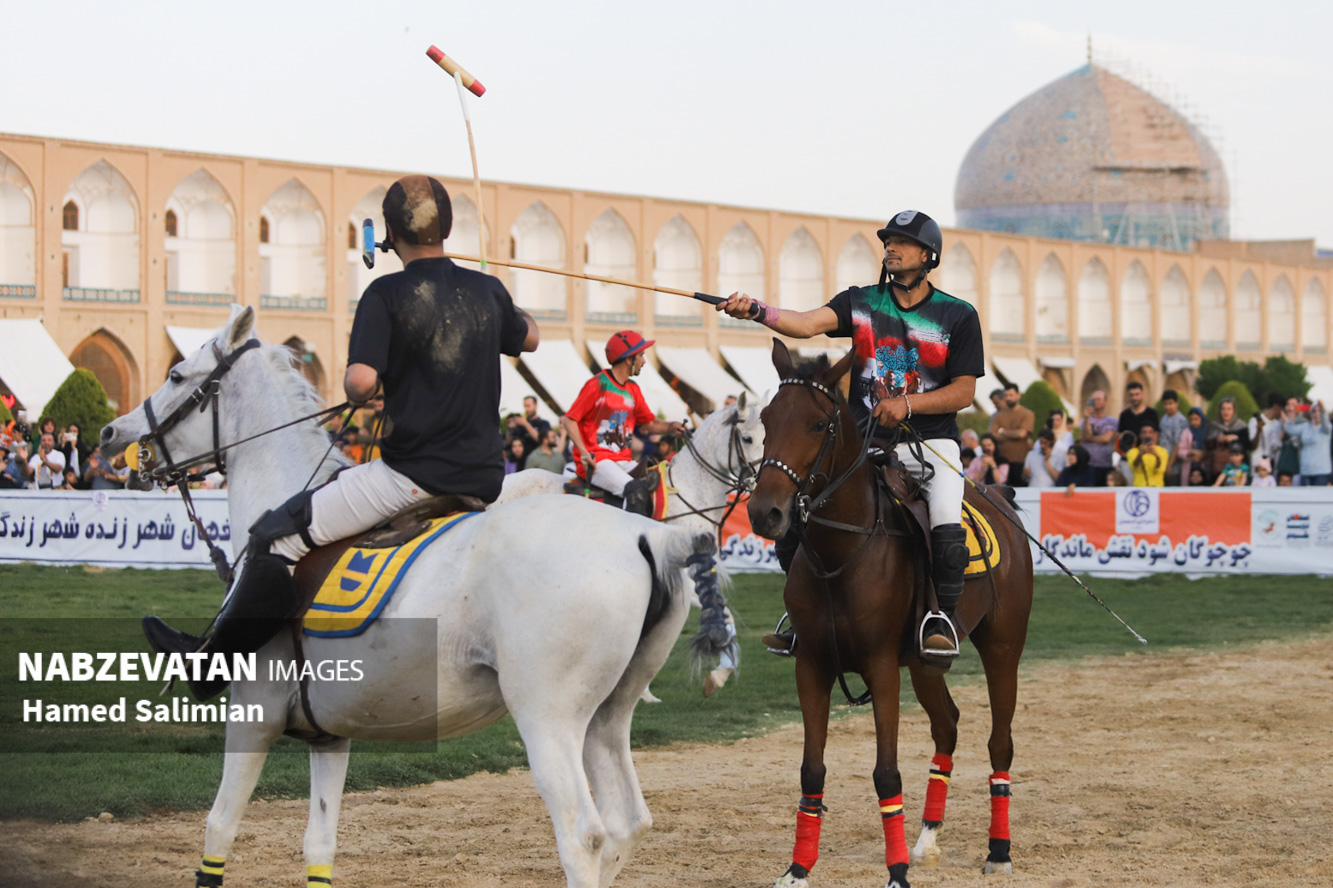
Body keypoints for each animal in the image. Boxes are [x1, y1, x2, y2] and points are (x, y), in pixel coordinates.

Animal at [99, 304, 715, 888]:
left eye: (176, 374)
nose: (111, 435)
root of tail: (646, 535)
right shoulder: (330, 735)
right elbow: (319, 845)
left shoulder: (256, 716)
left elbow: (219, 826)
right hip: (606, 716)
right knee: (627, 822)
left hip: (548, 719)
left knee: (583, 834)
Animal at [747, 340, 1033, 888]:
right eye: (766, 419)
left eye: (819, 424)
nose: (764, 512)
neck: (840, 553)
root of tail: (1000, 496)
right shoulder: (811, 665)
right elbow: (811, 770)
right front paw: (798, 868)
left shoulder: (880, 668)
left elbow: (886, 773)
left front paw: (896, 872)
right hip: (925, 663)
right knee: (947, 726)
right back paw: (926, 841)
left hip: (1003, 647)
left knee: (1000, 743)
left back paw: (999, 850)